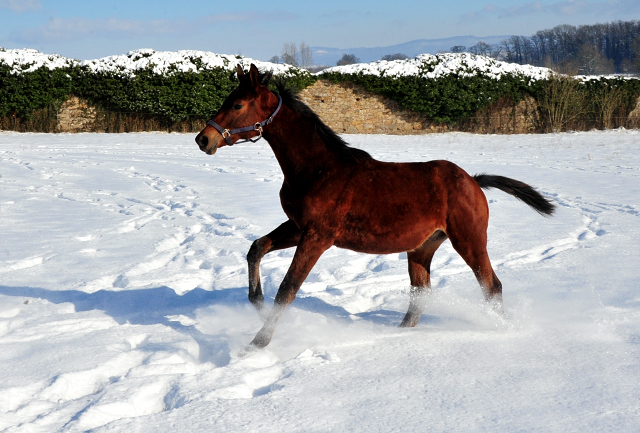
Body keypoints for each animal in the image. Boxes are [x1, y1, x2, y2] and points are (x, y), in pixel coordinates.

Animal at [195, 64, 556, 348]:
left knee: (491, 285)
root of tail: (474, 181)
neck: (317, 168)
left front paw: (258, 341)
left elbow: (288, 288)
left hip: (468, 239)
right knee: (420, 293)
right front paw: (256, 303)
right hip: (422, 248)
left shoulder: (318, 236)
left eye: (238, 104)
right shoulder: (298, 227)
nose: (203, 139)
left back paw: (503, 330)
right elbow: (256, 248)